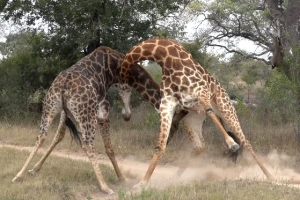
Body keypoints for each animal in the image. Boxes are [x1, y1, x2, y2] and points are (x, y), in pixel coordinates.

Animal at [11, 46, 132, 194]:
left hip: (49, 107)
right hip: (87, 114)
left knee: (41, 136)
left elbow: (59, 135)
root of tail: (64, 84)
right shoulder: (103, 112)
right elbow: (109, 148)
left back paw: (18, 175)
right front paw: (121, 178)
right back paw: (104, 186)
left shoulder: (65, 112)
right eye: (128, 89)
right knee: (87, 144)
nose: (127, 116)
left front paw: (34, 169)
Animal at [120, 37, 276, 188]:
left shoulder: (201, 92)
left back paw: (271, 177)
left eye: (125, 91)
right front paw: (142, 183)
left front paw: (231, 143)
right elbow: (160, 145)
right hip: (192, 119)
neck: (165, 58)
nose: (126, 116)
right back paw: (175, 176)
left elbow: (210, 112)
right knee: (200, 146)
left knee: (245, 141)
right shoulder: (168, 104)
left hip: (225, 107)